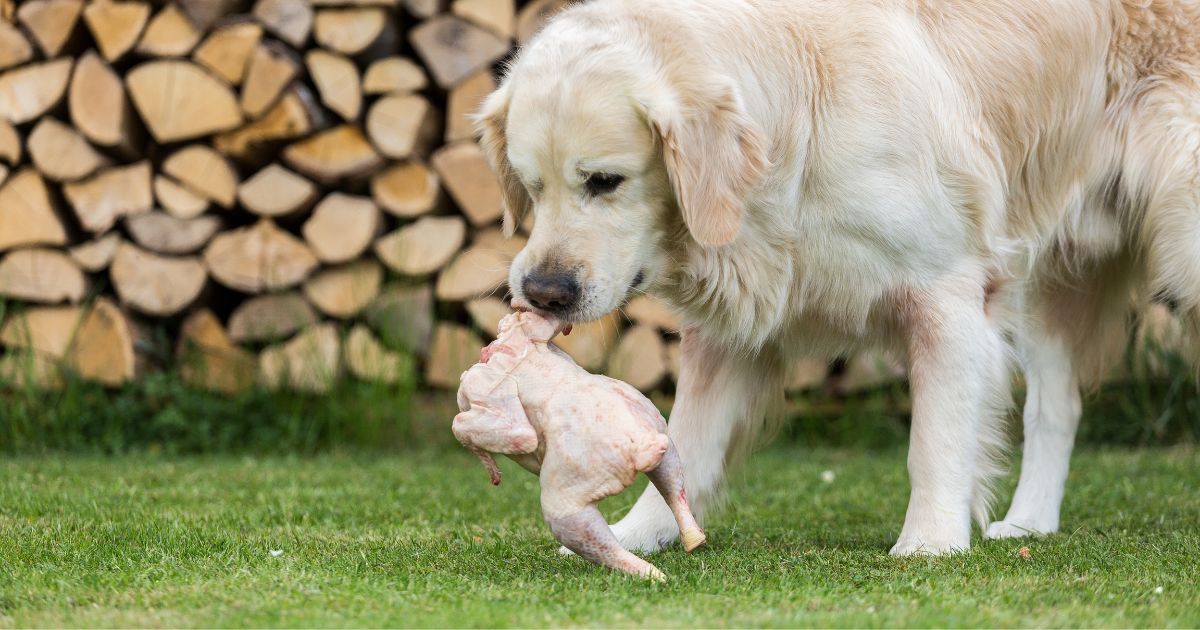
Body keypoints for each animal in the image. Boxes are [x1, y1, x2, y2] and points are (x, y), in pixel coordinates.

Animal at [475, 0, 1200, 552]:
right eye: (530, 187)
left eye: (605, 181)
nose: (542, 293)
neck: (797, 131)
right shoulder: (736, 325)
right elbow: (685, 439)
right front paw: (637, 534)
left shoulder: (947, 294)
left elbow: (936, 439)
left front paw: (929, 545)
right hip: (1055, 273)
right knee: (1058, 403)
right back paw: (1029, 523)